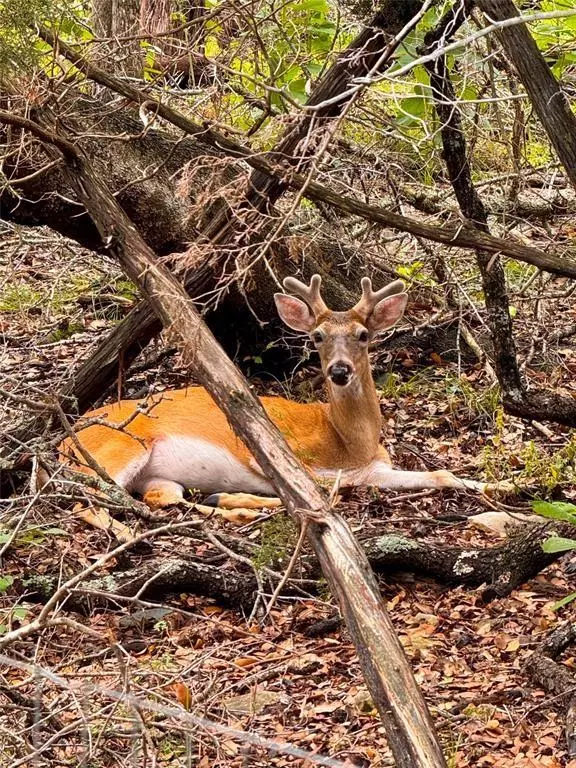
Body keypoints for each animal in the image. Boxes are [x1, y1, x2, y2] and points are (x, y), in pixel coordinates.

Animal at [49, 272, 504, 524]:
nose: (340, 371)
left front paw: (500, 485)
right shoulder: (280, 452)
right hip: (120, 446)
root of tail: (62, 444)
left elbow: (442, 475)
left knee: (160, 498)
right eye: (317, 336)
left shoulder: (375, 469)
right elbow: (328, 491)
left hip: (151, 473)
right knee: (90, 500)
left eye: (363, 335)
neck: (347, 442)